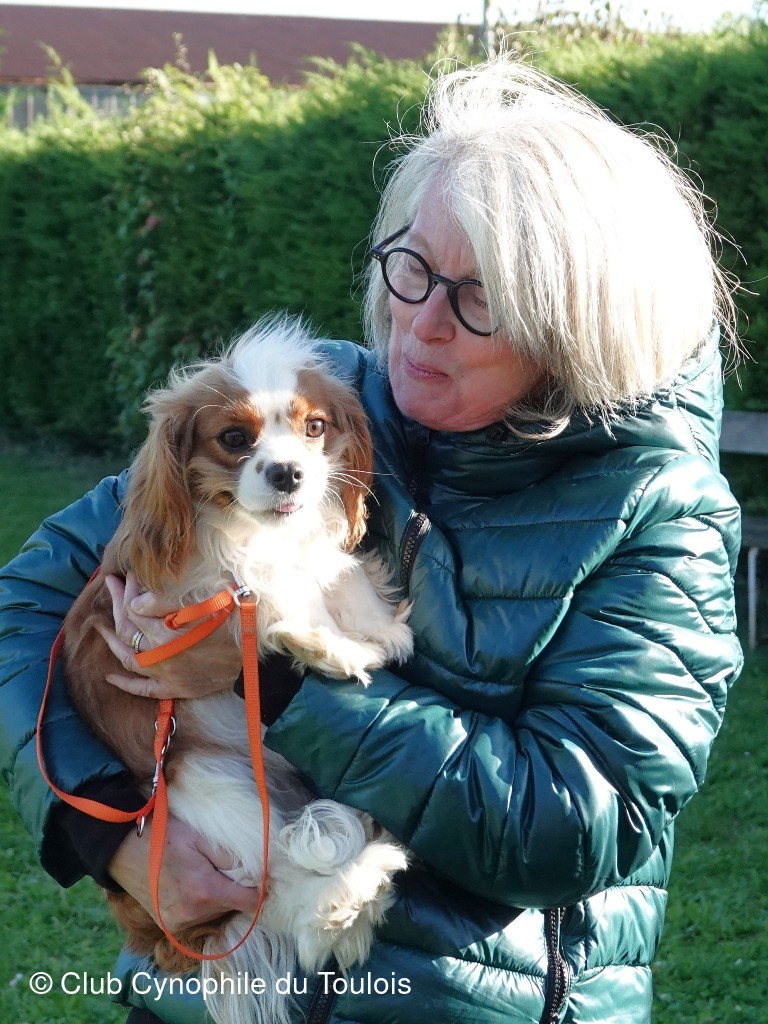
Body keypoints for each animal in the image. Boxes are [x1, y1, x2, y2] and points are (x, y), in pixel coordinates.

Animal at [61, 316, 413, 1024]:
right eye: (233, 439)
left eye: (315, 428)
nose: (288, 473)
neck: (262, 533)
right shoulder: (190, 592)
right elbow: (263, 591)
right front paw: (330, 645)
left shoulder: (311, 553)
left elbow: (335, 569)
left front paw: (377, 628)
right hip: (213, 788)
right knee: (282, 900)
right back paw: (361, 874)